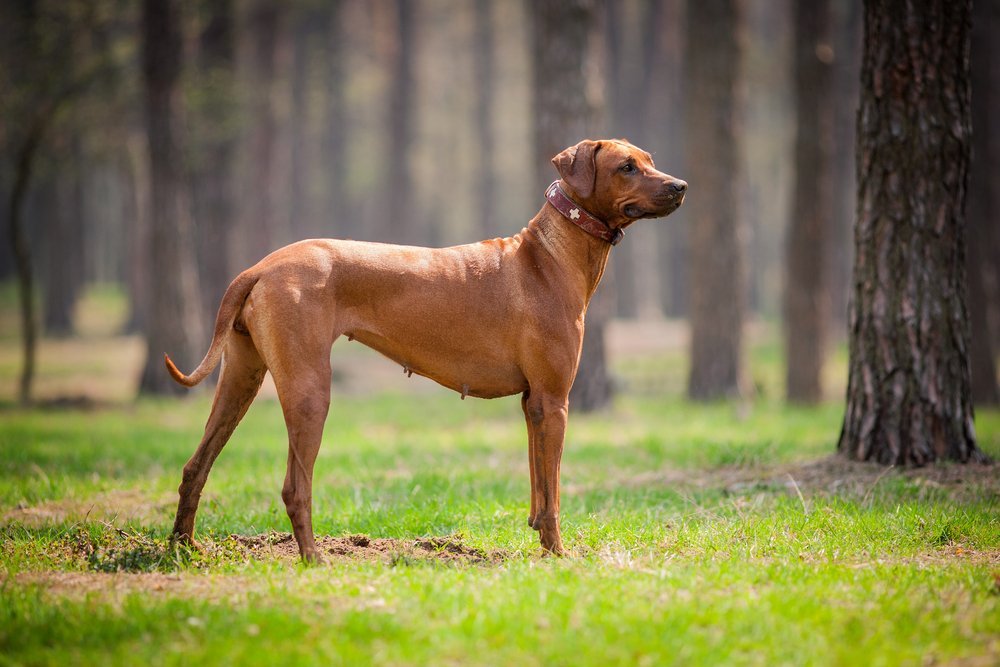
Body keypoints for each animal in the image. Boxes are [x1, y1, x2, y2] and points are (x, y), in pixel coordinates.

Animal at [168, 138, 684, 560]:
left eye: (651, 160)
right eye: (627, 167)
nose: (680, 185)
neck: (551, 255)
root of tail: (259, 267)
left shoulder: (533, 403)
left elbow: (539, 486)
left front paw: (540, 540)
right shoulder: (556, 400)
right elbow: (554, 493)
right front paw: (559, 554)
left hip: (240, 379)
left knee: (195, 466)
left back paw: (182, 548)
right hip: (309, 390)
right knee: (295, 488)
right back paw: (314, 559)